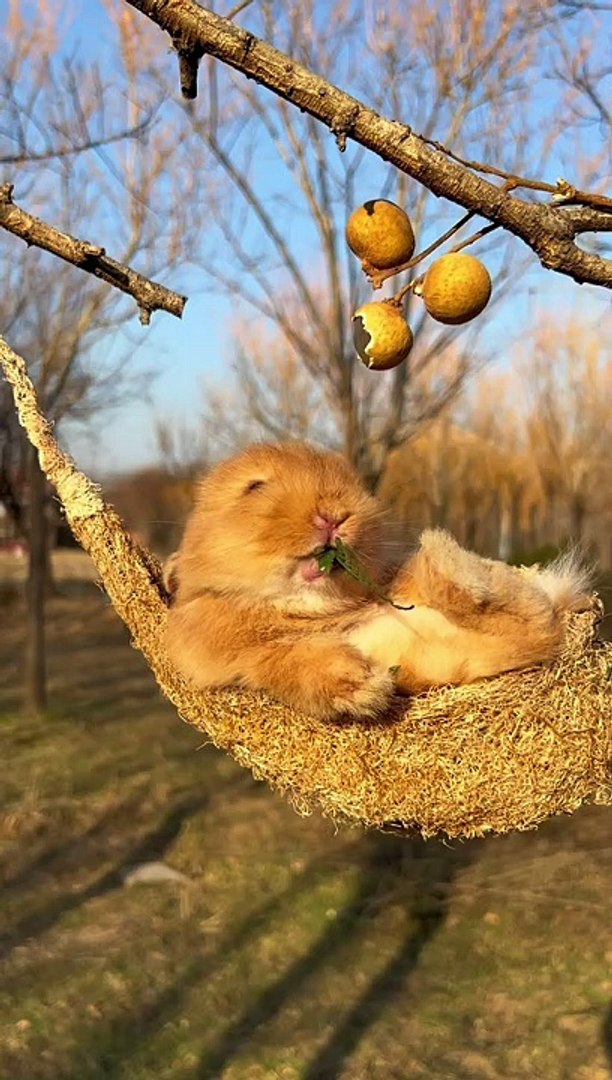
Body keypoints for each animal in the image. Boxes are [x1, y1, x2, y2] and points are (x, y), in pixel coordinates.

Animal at [165, 441, 592, 721]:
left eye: (353, 485)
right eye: (254, 487)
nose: (334, 515)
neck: (310, 607)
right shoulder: (254, 659)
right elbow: (296, 664)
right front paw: (367, 688)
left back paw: (445, 554)